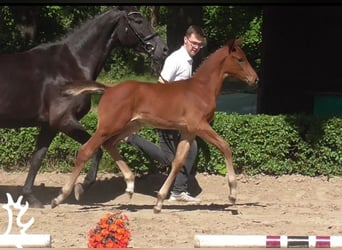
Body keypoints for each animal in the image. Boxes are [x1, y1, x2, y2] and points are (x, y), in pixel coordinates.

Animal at [0, 6, 168, 209]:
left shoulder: (49, 126)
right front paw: (81, 187)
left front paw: (31, 198)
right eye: (138, 21)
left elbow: (36, 160)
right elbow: (95, 150)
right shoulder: (64, 121)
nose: (163, 49)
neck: (70, 66)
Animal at [52, 38, 258, 213]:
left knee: (110, 144)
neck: (201, 89)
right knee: (86, 150)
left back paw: (130, 184)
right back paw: (60, 197)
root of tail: (108, 89)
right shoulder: (200, 125)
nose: (255, 79)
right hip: (108, 126)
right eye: (240, 59)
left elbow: (178, 161)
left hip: (130, 126)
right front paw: (232, 194)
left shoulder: (188, 131)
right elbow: (225, 146)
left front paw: (159, 201)